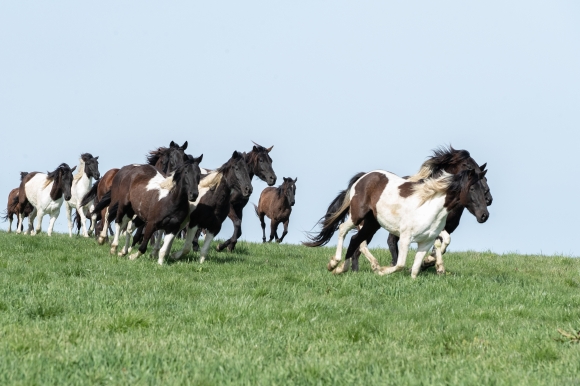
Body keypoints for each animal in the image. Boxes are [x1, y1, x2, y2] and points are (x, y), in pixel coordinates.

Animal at [304, 168, 490, 278]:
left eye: (484, 188)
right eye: (472, 188)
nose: (484, 215)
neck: (430, 206)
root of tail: (364, 176)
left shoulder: (426, 241)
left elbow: (415, 269)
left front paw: (430, 267)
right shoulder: (406, 238)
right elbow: (400, 264)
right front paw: (382, 271)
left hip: (372, 223)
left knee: (355, 240)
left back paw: (344, 268)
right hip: (358, 216)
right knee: (343, 230)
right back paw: (335, 264)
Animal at [348, 147, 494, 272]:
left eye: (485, 178)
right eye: (468, 166)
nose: (488, 200)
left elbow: (440, 246)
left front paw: (430, 264)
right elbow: (439, 245)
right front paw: (429, 263)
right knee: (364, 243)